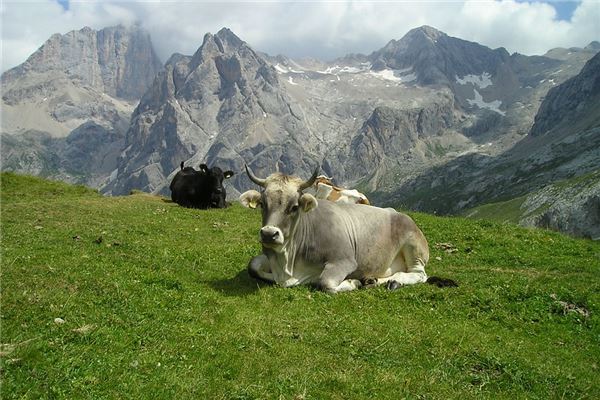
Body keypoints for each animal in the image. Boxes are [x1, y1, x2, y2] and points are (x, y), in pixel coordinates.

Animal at [239, 166, 454, 294]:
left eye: (294, 207)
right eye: (263, 204)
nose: (269, 233)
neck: (287, 263)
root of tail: (394, 212)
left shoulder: (345, 261)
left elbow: (326, 283)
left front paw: (353, 283)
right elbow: (252, 266)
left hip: (413, 246)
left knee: (419, 274)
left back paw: (393, 281)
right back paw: (373, 280)